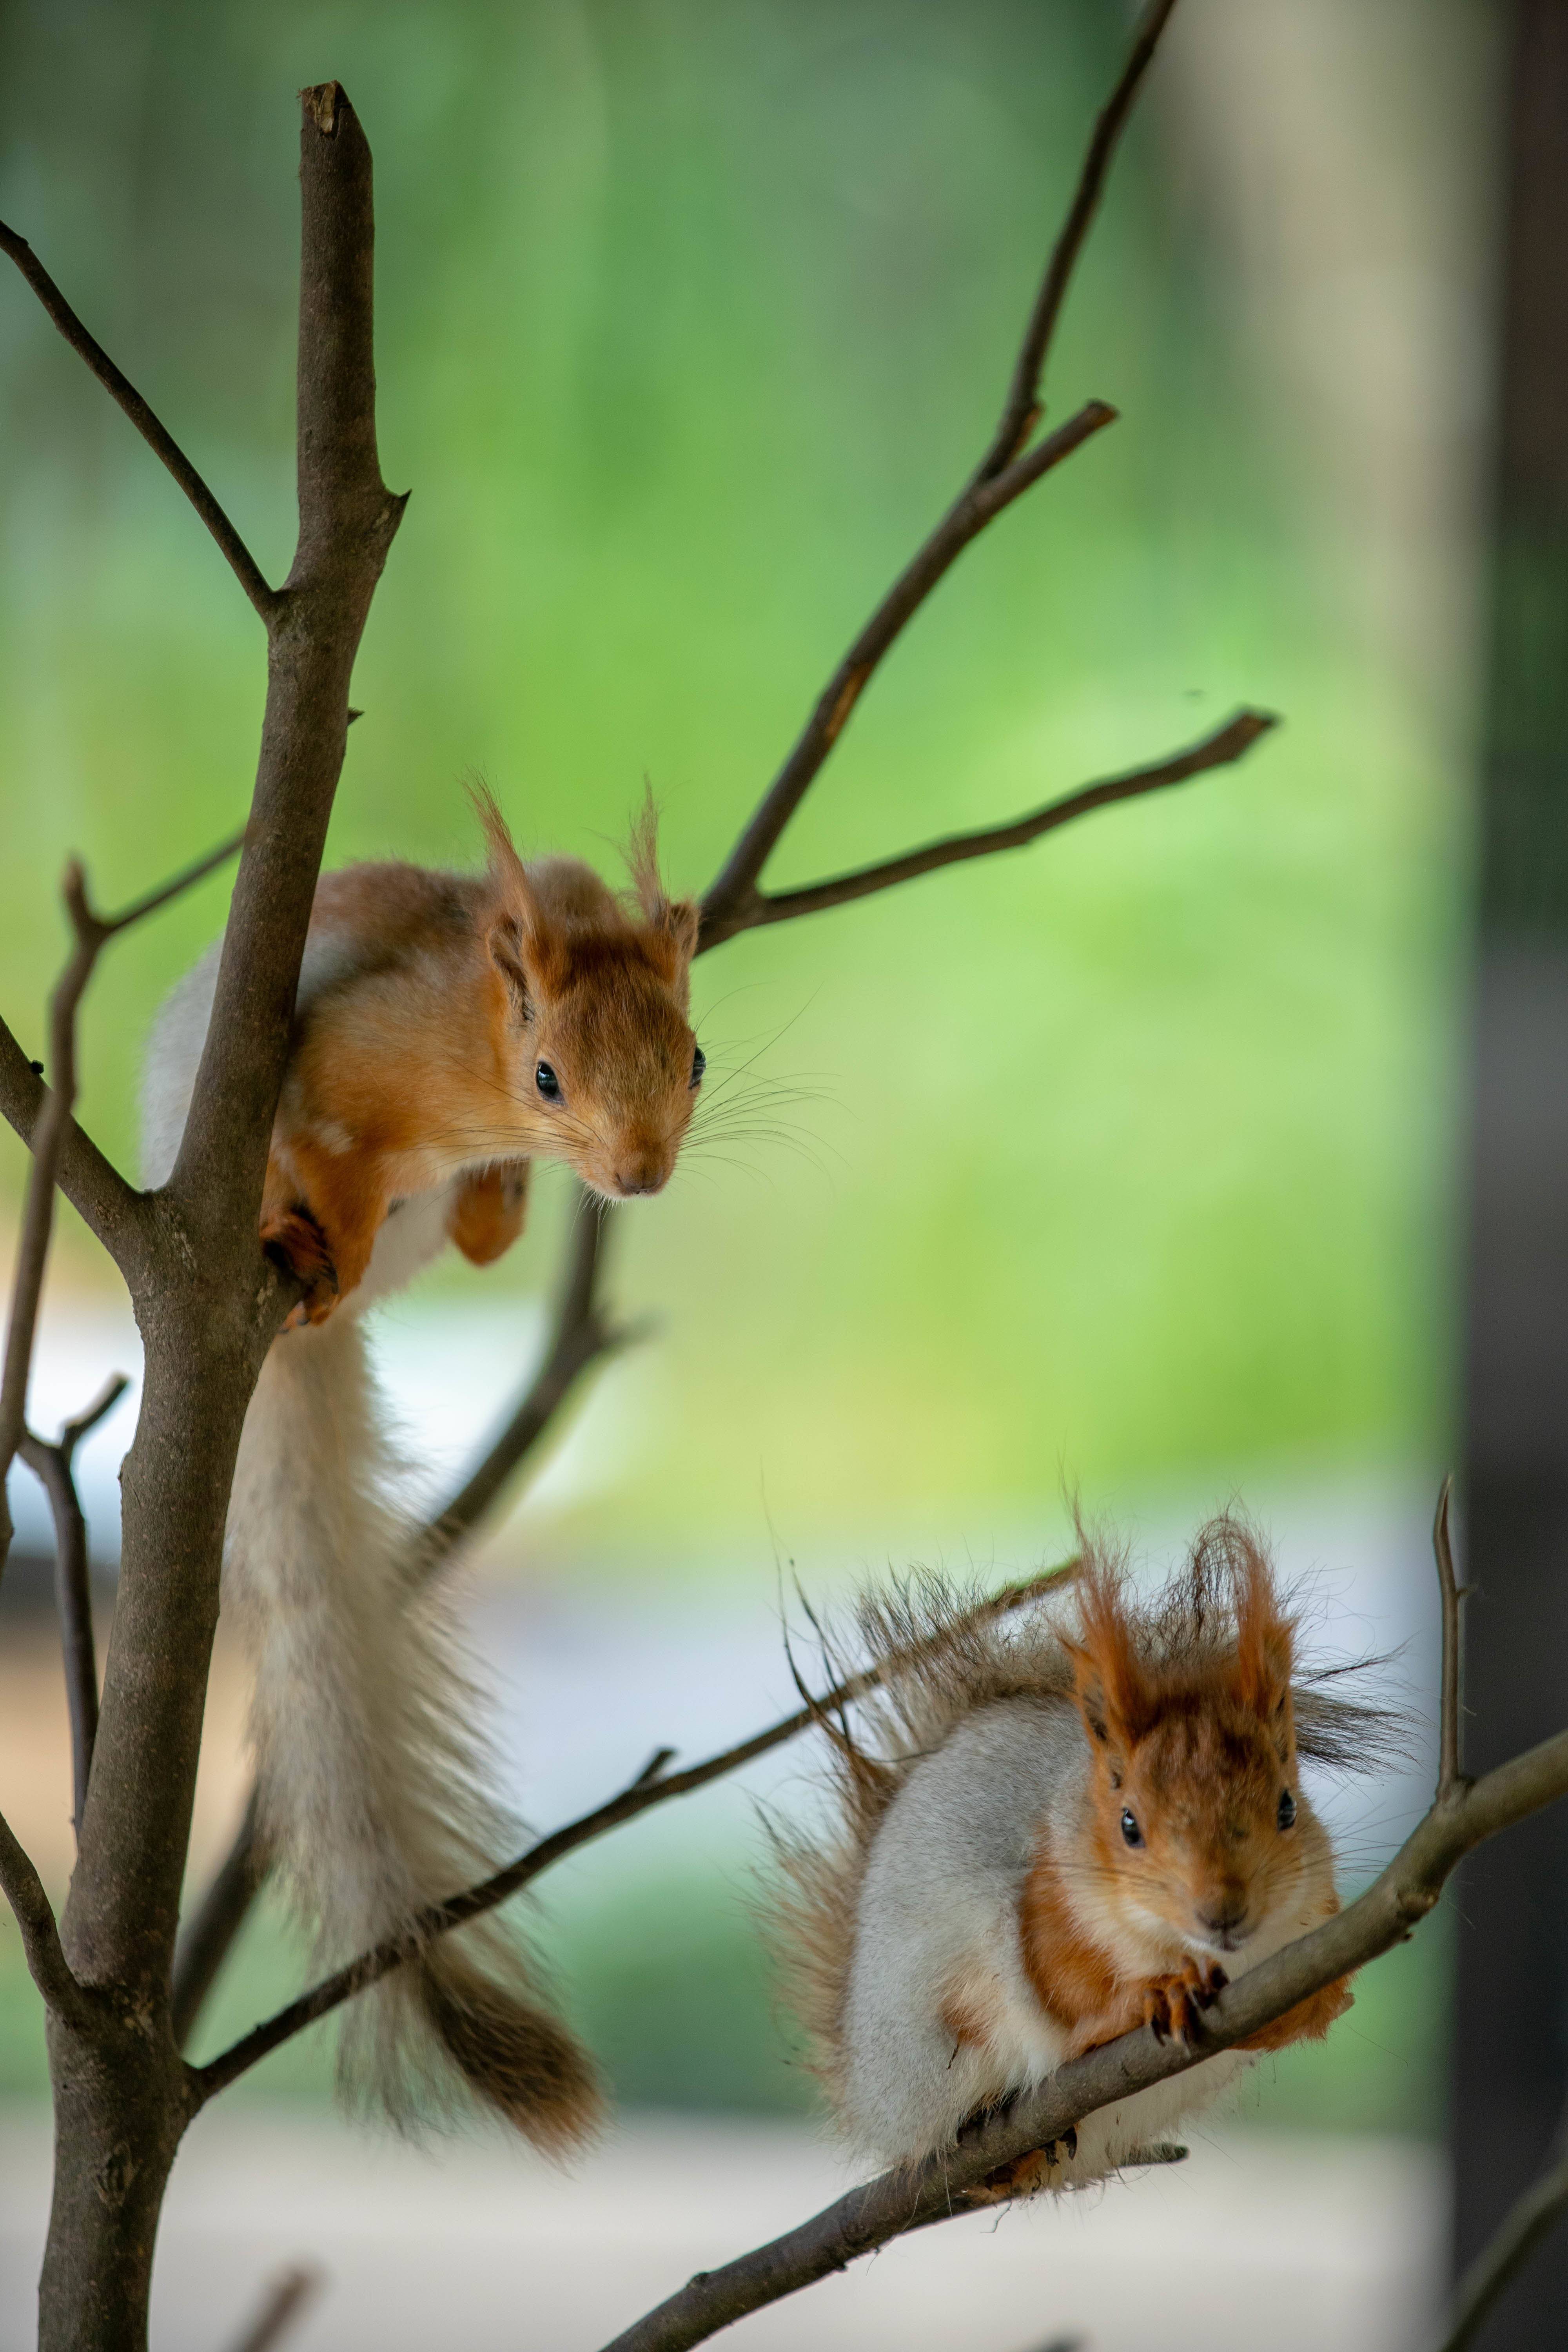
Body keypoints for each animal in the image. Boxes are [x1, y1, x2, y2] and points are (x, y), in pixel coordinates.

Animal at [141, 790, 705, 2154]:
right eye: (548, 1074)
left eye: (698, 1061)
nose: (639, 1175)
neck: (475, 1067)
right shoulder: (338, 1056)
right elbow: (324, 1139)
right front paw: (329, 1225)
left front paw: (507, 1195)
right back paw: (302, 1247)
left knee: (465, 1239)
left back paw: (493, 1207)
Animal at [771, 1515, 1382, 2192]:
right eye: (1128, 1825)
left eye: (1288, 1809)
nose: (1223, 1911)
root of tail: (869, 2096)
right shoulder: (1046, 1905)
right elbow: (1064, 1988)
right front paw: (1148, 1998)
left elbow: (1315, 2011)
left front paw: (1305, 2005)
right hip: (939, 2013)